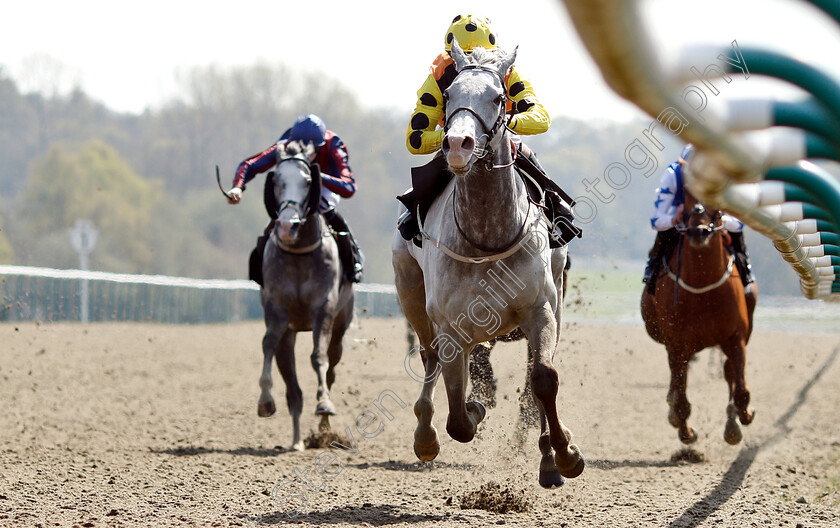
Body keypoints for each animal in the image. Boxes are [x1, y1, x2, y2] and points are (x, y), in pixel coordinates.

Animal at [253, 139, 352, 450]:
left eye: (308, 182)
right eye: (276, 181)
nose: (288, 225)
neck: (298, 254)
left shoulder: (323, 308)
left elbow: (318, 356)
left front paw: (324, 404)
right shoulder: (277, 310)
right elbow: (267, 344)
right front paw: (265, 401)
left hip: (341, 324)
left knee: (331, 365)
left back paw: (324, 426)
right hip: (291, 333)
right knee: (293, 389)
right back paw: (297, 440)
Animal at [394, 42, 584, 490]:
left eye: (499, 97)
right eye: (448, 96)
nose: (458, 145)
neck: (487, 237)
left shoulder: (541, 309)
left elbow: (543, 378)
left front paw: (564, 455)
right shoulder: (450, 325)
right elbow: (459, 420)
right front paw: (472, 410)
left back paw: (546, 457)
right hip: (411, 294)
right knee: (429, 358)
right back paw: (425, 435)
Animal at [640, 190, 756, 446]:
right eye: (685, 196)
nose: (699, 231)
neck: (703, 285)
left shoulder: (736, 338)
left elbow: (741, 389)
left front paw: (741, 418)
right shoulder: (677, 344)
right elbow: (681, 396)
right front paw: (686, 432)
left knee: (729, 372)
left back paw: (732, 422)